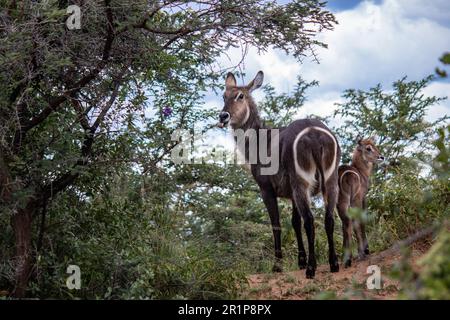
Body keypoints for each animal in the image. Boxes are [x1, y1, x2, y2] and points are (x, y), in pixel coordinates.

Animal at [219, 72, 342, 278]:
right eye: (223, 96)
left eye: (240, 96)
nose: (223, 116)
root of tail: (314, 134)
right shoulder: (291, 193)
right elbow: (294, 222)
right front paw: (300, 261)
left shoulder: (266, 189)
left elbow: (276, 224)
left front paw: (278, 266)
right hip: (330, 181)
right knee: (329, 218)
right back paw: (333, 264)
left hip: (302, 182)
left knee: (310, 220)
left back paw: (311, 268)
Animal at [338, 138, 384, 268]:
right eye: (368, 148)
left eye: (375, 145)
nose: (381, 157)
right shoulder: (363, 198)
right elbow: (362, 221)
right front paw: (366, 250)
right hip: (354, 201)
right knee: (355, 222)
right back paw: (360, 255)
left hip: (340, 204)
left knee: (346, 224)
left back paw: (346, 259)